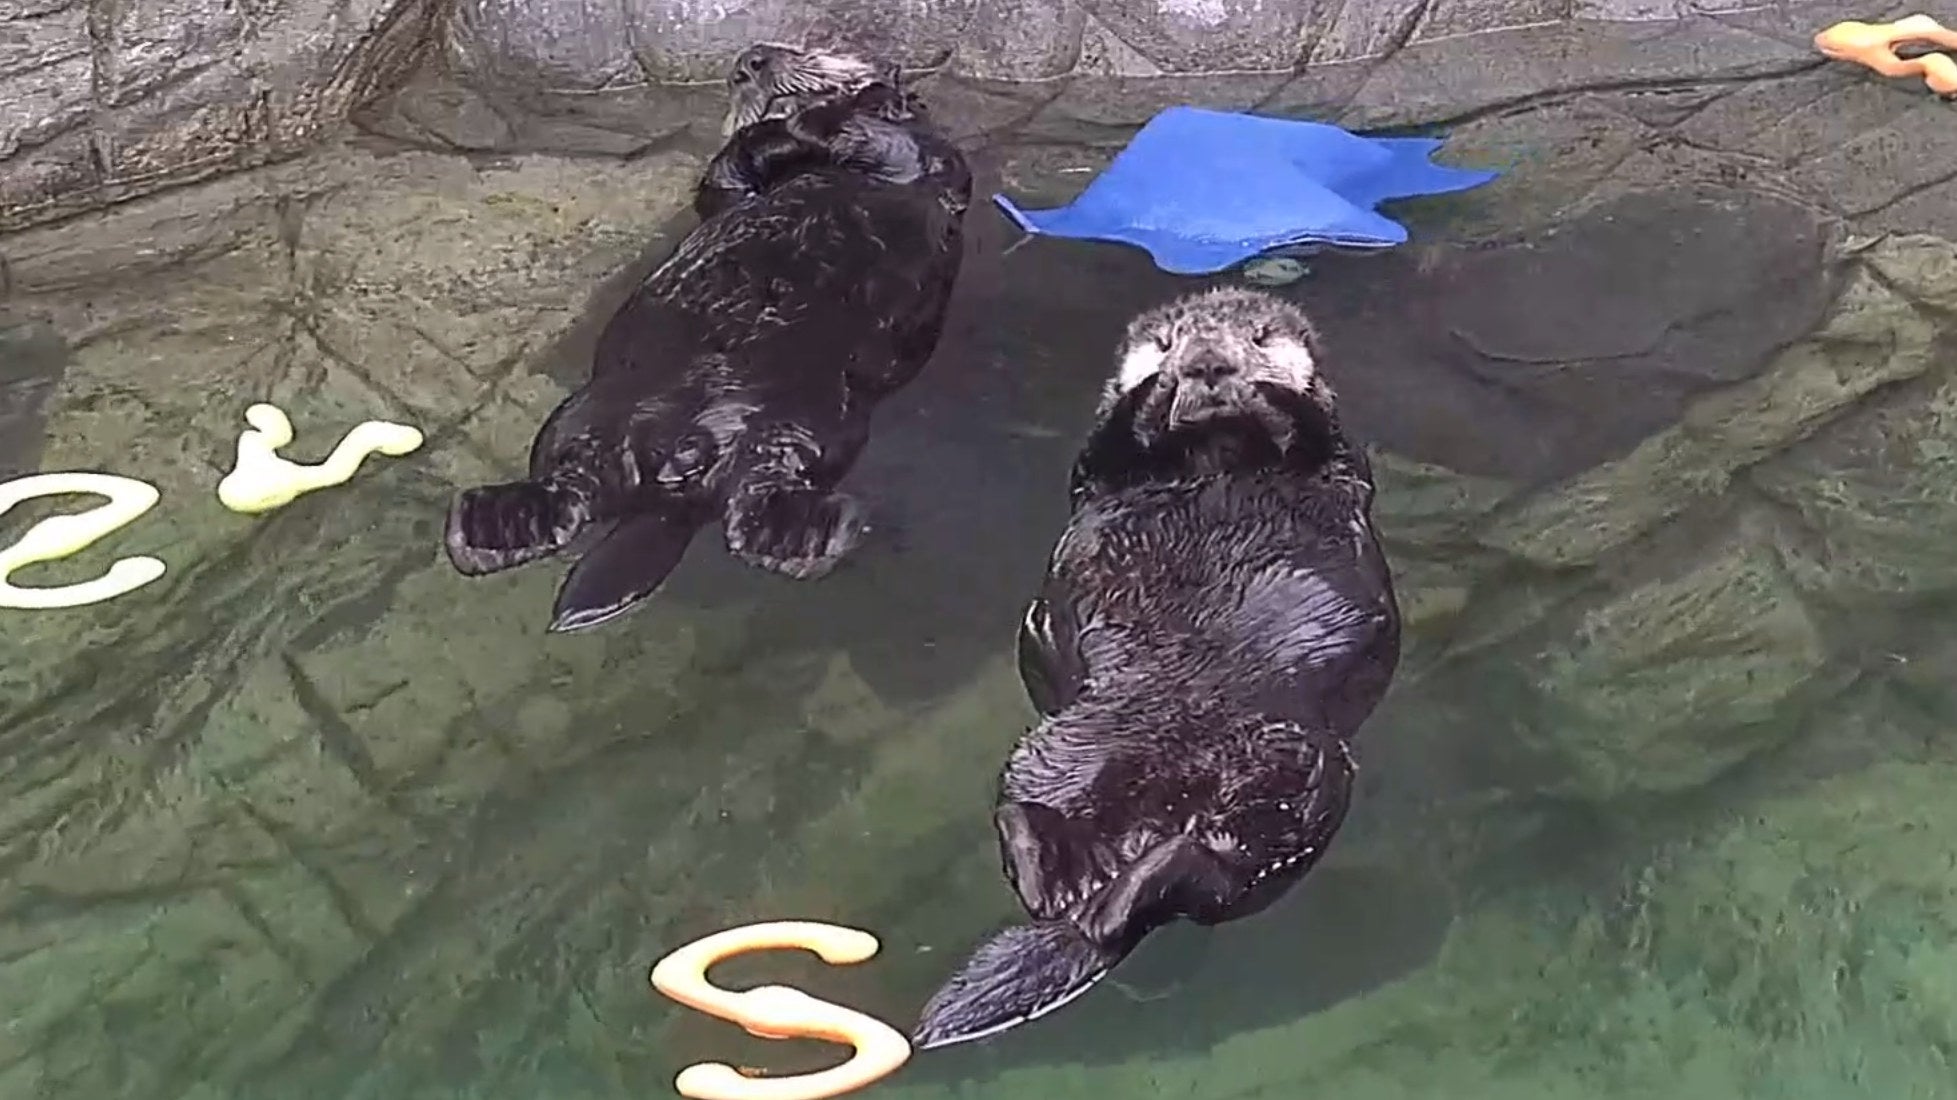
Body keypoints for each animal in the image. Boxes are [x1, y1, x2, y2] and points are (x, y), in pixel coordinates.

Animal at [442, 45, 972, 632]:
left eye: (814, 50)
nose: (751, 61)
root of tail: (674, 482)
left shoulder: (933, 164)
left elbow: (900, 144)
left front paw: (817, 110)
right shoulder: (728, 189)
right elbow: (726, 172)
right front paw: (766, 123)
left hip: (812, 423)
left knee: (756, 497)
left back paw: (808, 539)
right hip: (581, 419)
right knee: (570, 487)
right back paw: (489, 528)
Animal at [910, 288, 1403, 1050]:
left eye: (1259, 336)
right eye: (1165, 341)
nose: (1206, 361)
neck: (1216, 458)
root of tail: (1134, 838)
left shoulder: (1341, 462)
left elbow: (1315, 429)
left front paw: (1265, 390)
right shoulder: (1100, 474)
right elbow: (1105, 446)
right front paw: (1157, 391)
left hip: (1296, 774)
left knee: (1218, 877)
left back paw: (1123, 893)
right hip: (1056, 753)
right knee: (1032, 819)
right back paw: (1053, 877)